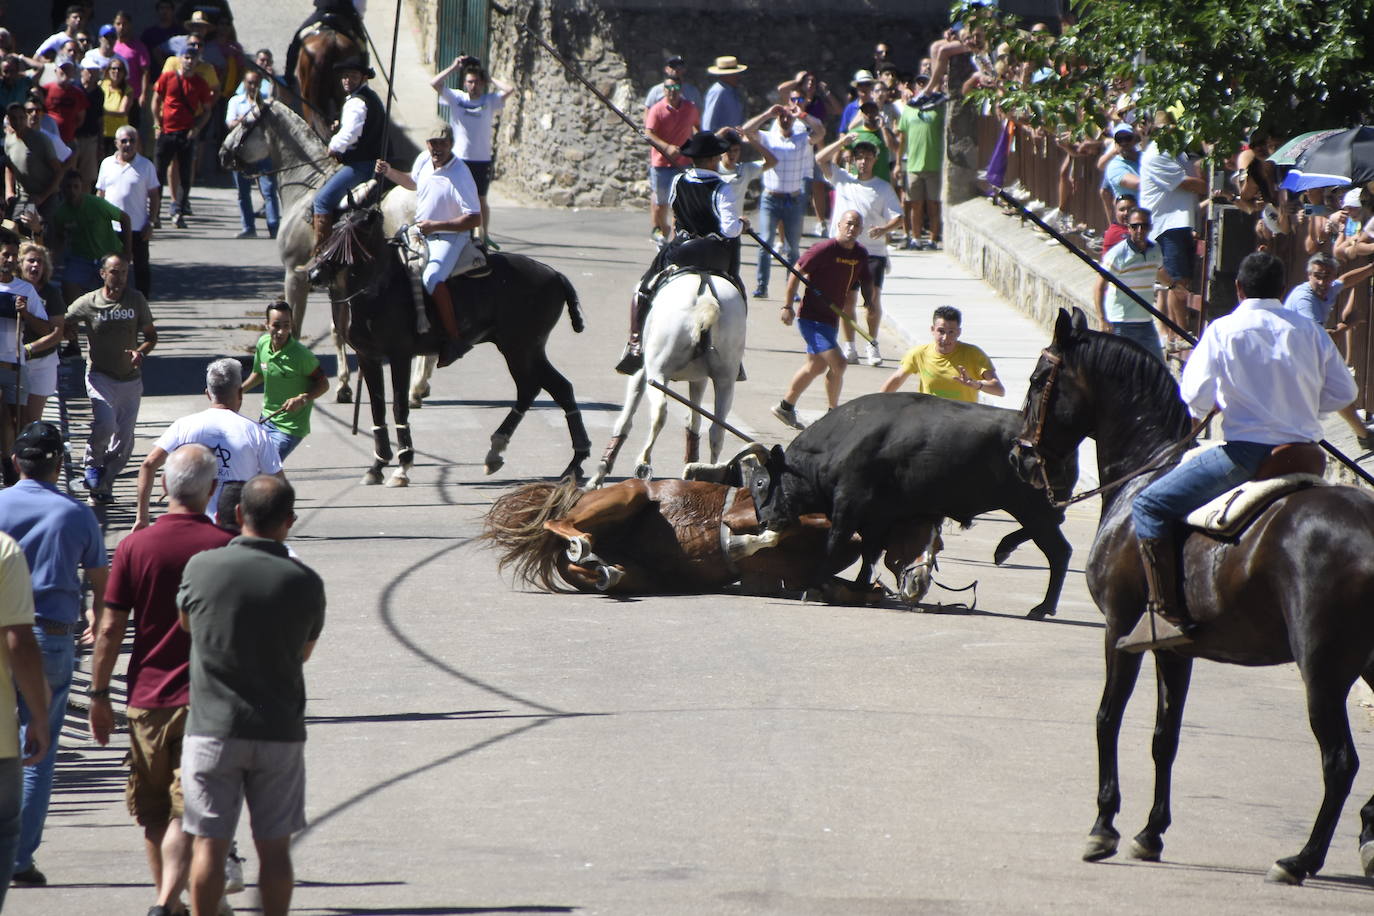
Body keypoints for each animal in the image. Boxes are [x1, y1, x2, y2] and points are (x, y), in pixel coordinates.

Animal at [214, 98, 414, 403]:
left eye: (246, 121)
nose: (223, 153)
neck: (306, 187)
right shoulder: (338, 286)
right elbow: (339, 330)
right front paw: (344, 385)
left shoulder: (294, 275)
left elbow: (294, 327)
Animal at [483, 472, 945, 601]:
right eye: (917, 530)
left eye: (938, 544)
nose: (920, 584)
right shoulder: (747, 515)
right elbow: (768, 533)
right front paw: (739, 546)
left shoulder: (802, 577)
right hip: (628, 494)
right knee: (559, 524)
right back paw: (581, 542)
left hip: (641, 574)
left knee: (603, 568)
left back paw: (602, 568)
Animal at [588, 270, 747, 491]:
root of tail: (706, 295)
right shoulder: (699, 379)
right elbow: (694, 420)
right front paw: (693, 466)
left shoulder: (641, 373)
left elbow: (625, 420)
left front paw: (599, 474)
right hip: (725, 382)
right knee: (717, 430)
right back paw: (713, 473)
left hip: (657, 373)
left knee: (660, 412)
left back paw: (644, 461)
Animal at [747, 390, 1077, 620]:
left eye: (761, 482)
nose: (764, 522)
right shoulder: (877, 518)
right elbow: (869, 554)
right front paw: (861, 587)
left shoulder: (849, 507)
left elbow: (834, 544)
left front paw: (813, 587)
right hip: (1035, 511)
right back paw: (1005, 553)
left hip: (1033, 510)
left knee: (1059, 551)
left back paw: (1040, 605)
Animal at [1011, 310, 1374, 889]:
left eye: (1039, 379)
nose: (1019, 457)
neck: (1143, 477)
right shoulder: (1173, 647)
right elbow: (1166, 735)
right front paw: (1150, 832)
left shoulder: (1120, 628)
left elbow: (1107, 717)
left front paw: (1104, 826)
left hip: (1323, 668)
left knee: (1340, 761)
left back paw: (1300, 859)